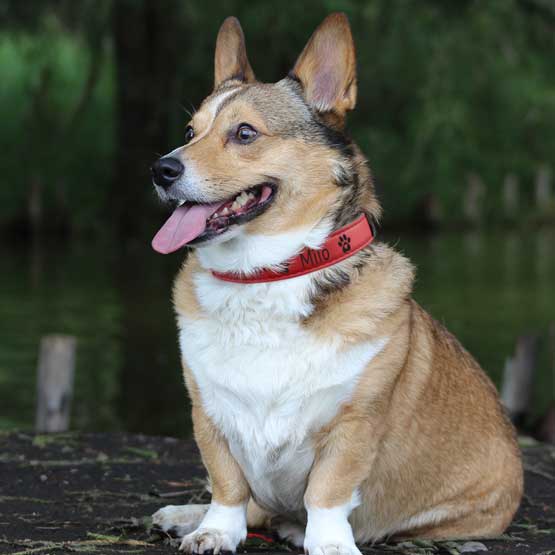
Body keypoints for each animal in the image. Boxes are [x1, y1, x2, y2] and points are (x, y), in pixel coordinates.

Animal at [150, 14, 524, 555]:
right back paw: (185, 516)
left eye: (244, 133)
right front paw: (215, 531)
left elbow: (326, 492)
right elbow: (227, 485)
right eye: (188, 131)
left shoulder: (353, 425)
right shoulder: (210, 413)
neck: (268, 275)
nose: (161, 168)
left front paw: (327, 543)